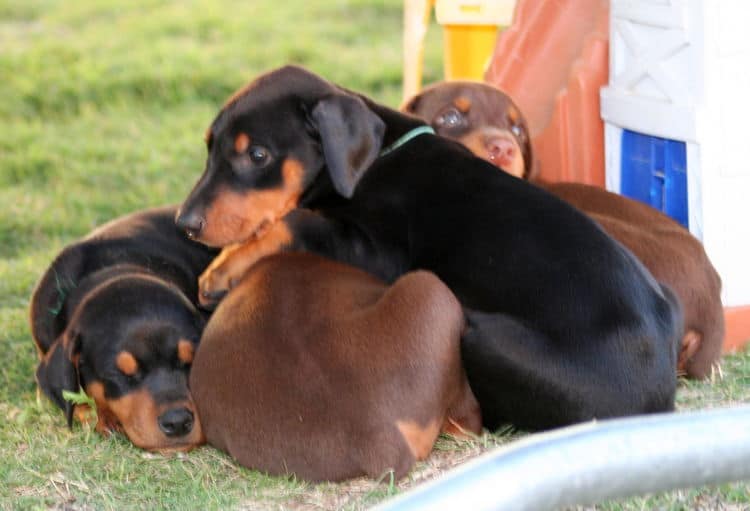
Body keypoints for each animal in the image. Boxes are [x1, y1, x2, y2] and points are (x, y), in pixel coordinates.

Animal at [179, 65, 684, 432]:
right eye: (208, 148)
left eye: (257, 155)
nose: (186, 223)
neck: (372, 159)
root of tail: (657, 398)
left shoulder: (378, 252)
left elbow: (295, 220)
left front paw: (221, 270)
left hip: (480, 332)